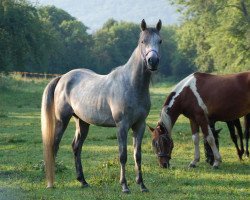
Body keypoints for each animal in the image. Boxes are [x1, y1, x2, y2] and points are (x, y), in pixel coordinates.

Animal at [41, 19, 162, 193]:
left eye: (160, 41)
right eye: (142, 41)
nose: (153, 61)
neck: (131, 84)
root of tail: (62, 77)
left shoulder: (139, 125)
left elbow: (137, 155)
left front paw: (142, 185)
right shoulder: (122, 126)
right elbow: (123, 155)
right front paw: (124, 186)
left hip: (82, 122)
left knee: (76, 147)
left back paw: (83, 181)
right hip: (61, 121)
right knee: (54, 146)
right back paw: (51, 183)